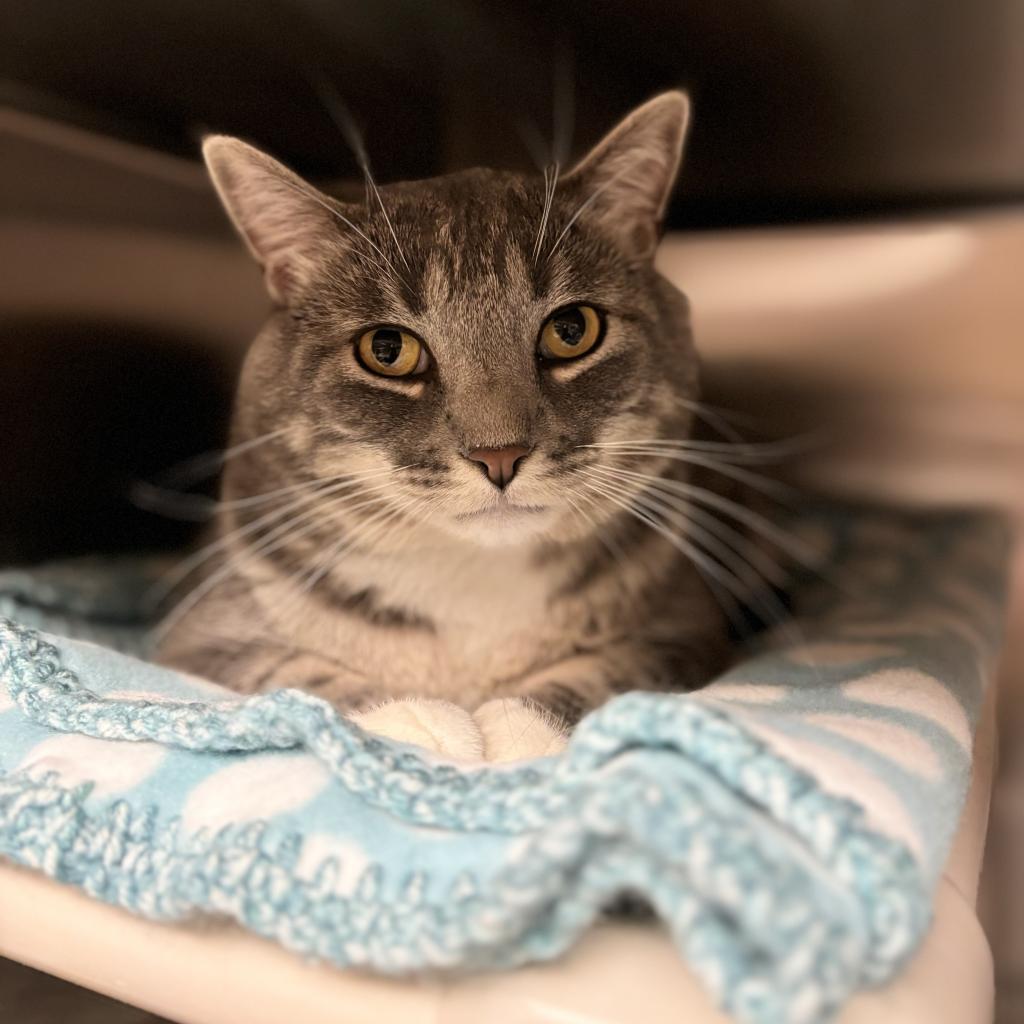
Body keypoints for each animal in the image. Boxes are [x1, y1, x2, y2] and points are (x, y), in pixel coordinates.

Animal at [155, 90, 749, 761]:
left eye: (572, 330)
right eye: (387, 349)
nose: (500, 456)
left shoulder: (687, 630)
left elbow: (614, 670)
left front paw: (517, 727)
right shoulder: (200, 635)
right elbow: (290, 674)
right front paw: (423, 722)